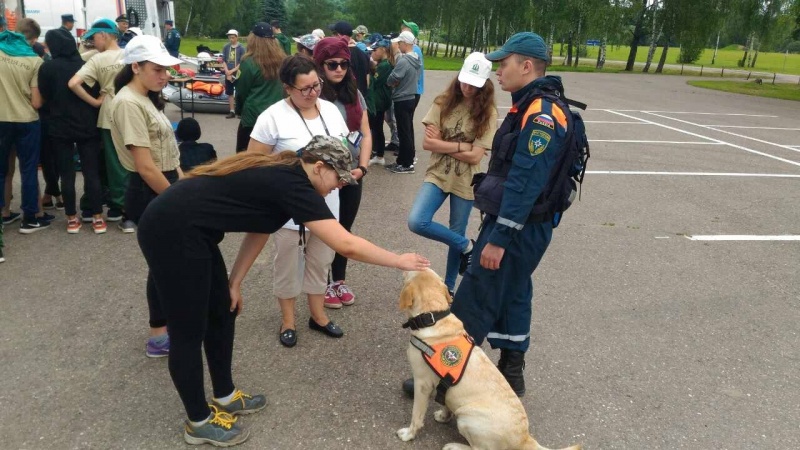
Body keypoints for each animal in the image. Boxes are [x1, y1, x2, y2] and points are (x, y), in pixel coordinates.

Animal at [396, 268, 580, 450]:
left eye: (408, 271)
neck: (433, 317)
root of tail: (524, 438)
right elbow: (446, 402)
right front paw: (444, 415)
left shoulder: (422, 384)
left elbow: (416, 416)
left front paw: (409, 434)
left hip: (467, 418)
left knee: (479, 448)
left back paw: (455, 446)